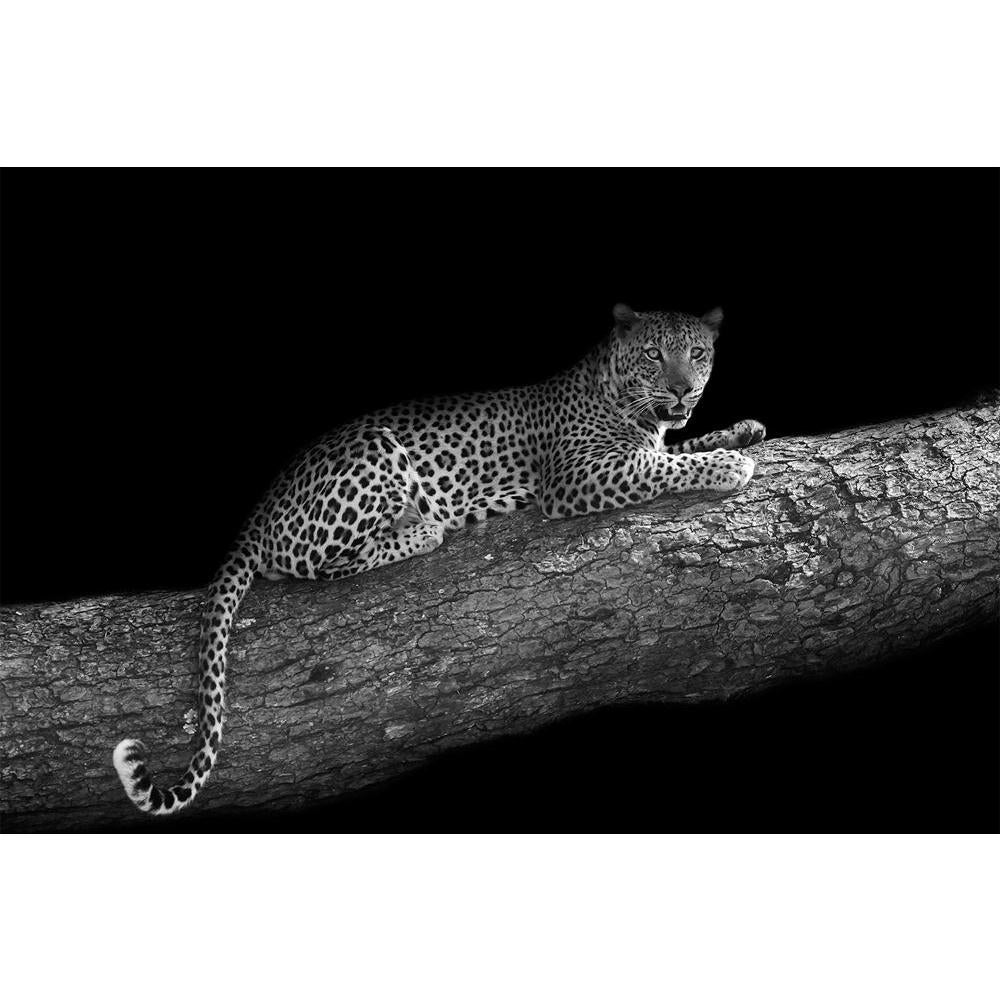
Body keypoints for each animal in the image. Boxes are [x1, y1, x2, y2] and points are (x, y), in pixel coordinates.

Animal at [113, 302, 766, 815]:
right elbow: (663, 467)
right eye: (654, 354)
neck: (624, 395)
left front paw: (743, 430)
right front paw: (729, 464)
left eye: (698, 354)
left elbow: (676, 448)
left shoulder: (645, 442)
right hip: (374, 455)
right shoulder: (578, 477)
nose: (682, 389)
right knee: (326, 562)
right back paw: (424, 527)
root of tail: (254, 518)